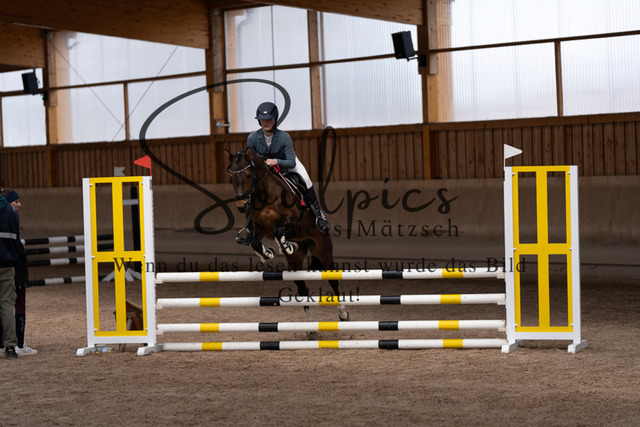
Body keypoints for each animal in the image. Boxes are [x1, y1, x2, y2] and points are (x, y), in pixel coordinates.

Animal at [225, 148, 350, 322]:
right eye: (231, 177)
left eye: (249, 175)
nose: (241, 206)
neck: (266, 194)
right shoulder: (259, 228)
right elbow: (255, 242)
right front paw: (268, 253)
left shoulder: (292, 221)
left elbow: (279, 230)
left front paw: (285, 245)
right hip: (295, 261)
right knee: (302, 287)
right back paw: (310, 322)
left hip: (323, 250)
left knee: (333, 280)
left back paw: (343, 313)